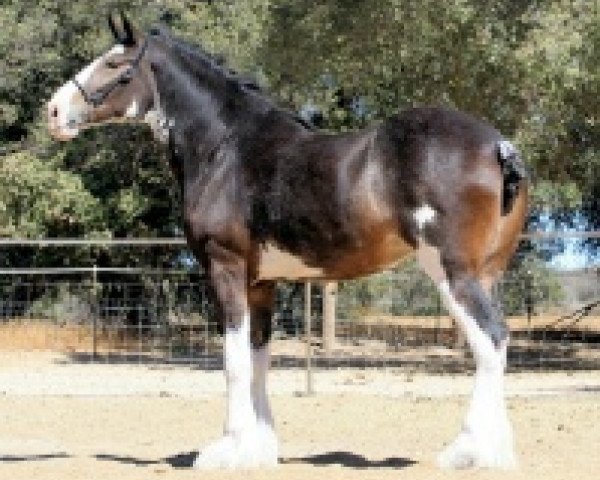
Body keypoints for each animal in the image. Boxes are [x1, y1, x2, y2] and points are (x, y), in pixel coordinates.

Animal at [47, 13, 528, 470]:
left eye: (115, 65)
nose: (52, 110)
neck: (226, 148)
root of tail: (498, 145)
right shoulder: (261, 282)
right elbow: (258, 359)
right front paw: (256, 450)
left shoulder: (225, 267)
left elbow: (234, 362)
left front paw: (225, 451)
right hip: (486, 272)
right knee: (495, 343)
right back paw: (496, 452)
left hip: (452, 270)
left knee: (490, 340)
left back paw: (464, 453)